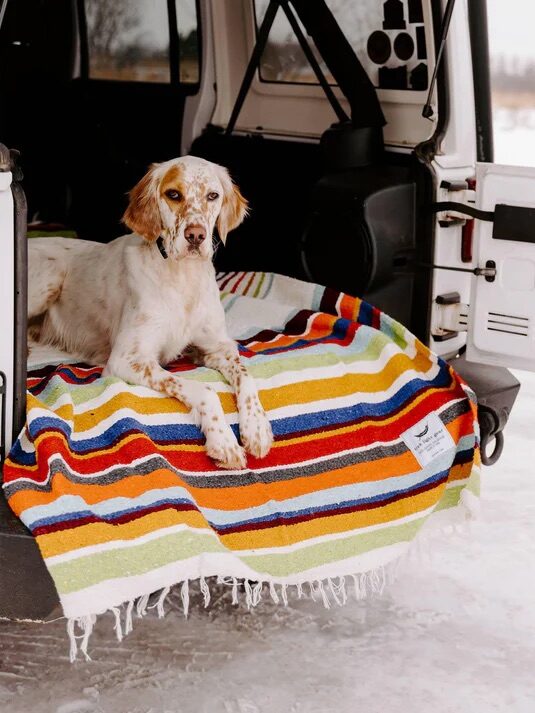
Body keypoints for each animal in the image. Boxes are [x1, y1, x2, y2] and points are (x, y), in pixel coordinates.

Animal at [27, 155, 274, 468]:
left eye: (212, 196)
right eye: (173, 194)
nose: (196, 235)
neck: (183, 278)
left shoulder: (218, 347)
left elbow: (246, 376)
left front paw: (257, 428)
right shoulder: (127, 359)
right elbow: (203, 390)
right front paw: (224, 441)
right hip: (51, 276)